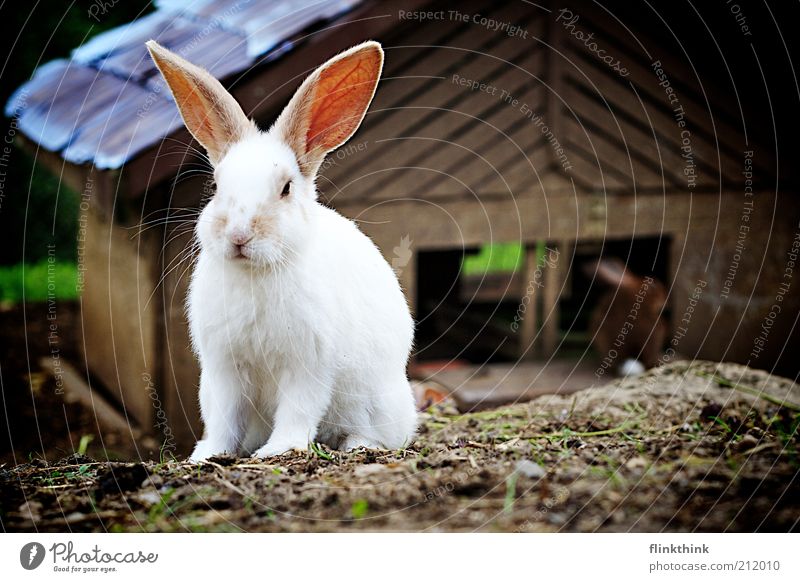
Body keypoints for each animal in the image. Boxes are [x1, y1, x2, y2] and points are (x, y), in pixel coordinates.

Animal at [145, 40, 418, 460]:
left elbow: (297, 409)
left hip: (374, 402)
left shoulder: (307, 365)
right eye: (217, 186)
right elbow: (223, 418)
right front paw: (208, 455)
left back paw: (357, 445)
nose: (239, 235)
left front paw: (278, 450)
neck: (255, 273)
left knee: (380, 435)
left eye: (286, 188)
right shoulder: (224, 369)